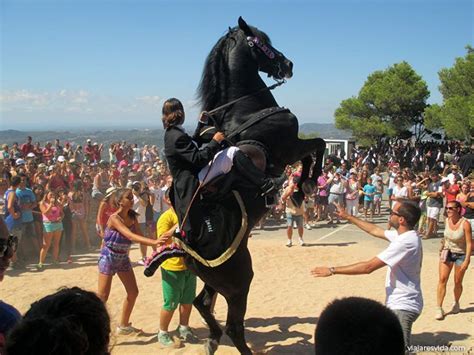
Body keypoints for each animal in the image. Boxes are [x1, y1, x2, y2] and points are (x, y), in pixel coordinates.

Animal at [183, 17, 324, 355]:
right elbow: (319, 146)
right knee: (234, 328)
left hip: (218, 283)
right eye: (262, 43)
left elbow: (314, 151)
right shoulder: (289, 148)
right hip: (239, 283)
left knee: (203, 304)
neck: (245, 109)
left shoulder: (290, 150)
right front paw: (306, 184)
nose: (288, 64)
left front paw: (300, 187)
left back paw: (210, 340)